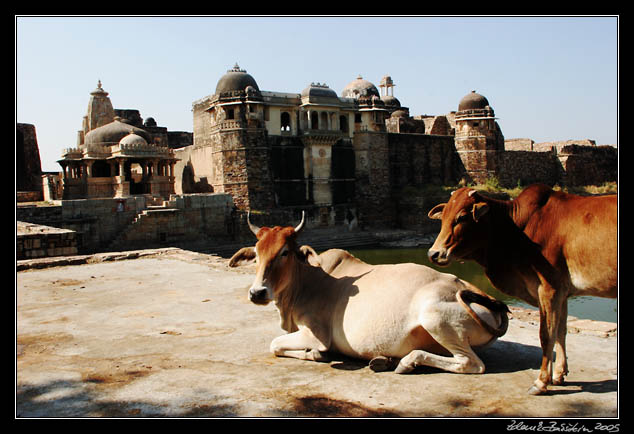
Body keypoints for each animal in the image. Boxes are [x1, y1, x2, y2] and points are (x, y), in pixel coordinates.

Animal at [228, 212, 508, 374]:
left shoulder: (316, 333)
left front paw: (316, 354)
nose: (257, 292)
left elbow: (275, 345)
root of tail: (487, 298)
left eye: (284, 252)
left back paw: (407, 362)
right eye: (256, 253)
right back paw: (385, 361)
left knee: (471, 364)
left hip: (435, 318)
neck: (305, 281)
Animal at [428, 185, 616, 396]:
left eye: (462, 217)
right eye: (443, 217)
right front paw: (559, 374)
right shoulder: (563, 293)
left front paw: (541, 382)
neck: (517, 231)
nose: (434, 254)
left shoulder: (549, 289)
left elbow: (546, 335)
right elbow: (561, 332)